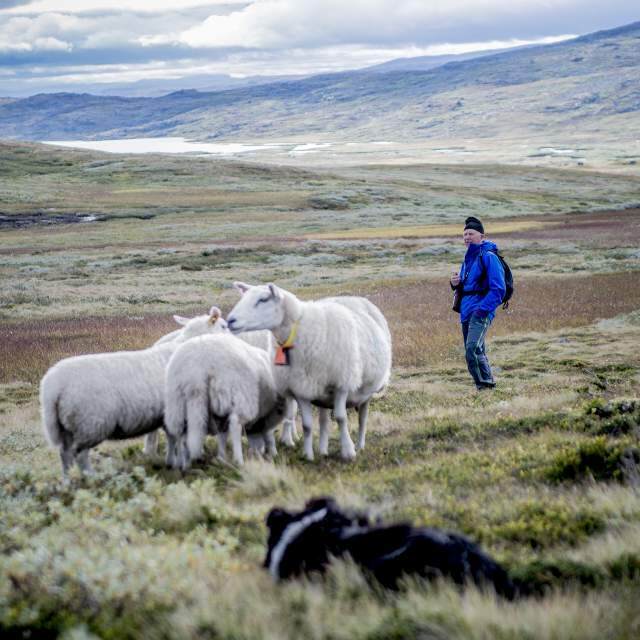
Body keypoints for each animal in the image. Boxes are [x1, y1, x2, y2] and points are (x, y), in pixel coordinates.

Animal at [40, 306, 230, 480]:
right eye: (223, 325)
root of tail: (52, 385)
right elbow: (179, 441)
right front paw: (182, 464)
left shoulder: (168, 414)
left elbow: (172, 439)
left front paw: (171, 463)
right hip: (89, 424)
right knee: (80, 455)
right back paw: (93, 478)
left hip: (66, 427)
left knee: (65, 454)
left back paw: (66, 482)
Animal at [165, 336, 288, 464]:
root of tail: (196, 371)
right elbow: (268, 435)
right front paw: (272, 453)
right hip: (238, 395)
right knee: (235, 424)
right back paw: (239, 460)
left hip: (177, 403)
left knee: (183, 432)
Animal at [228, 284, 392, 460]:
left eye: (263, 299)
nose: (230, 320)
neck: (300, 328)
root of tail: (353, 297)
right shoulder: (301, 388)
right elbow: (307, 425)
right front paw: (308, 455)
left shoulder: (341, 384)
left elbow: (341, 418)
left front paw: (348, 452)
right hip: (322, 393)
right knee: (323, 421)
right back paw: (323, 449)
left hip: (366, 392)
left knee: (363, 417)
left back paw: (360, 445)